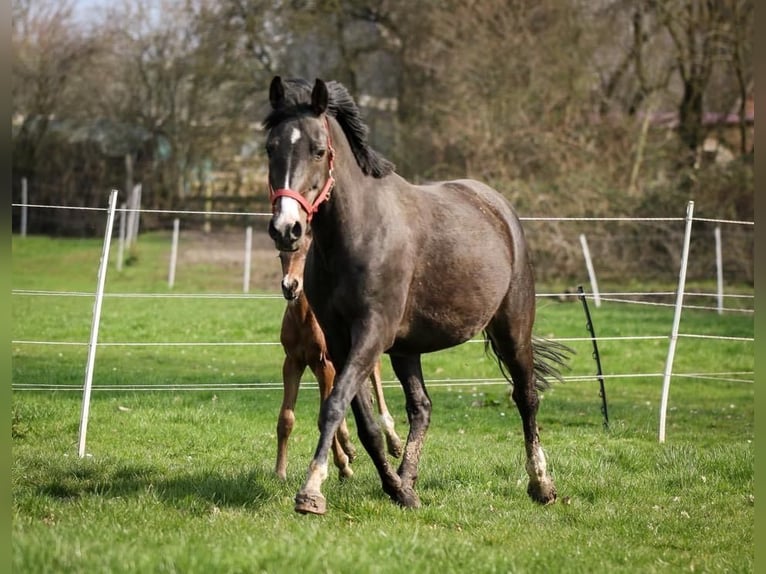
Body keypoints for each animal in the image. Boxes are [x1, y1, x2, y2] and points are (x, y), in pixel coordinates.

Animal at [278, 236, 408, 484]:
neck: (304, 319)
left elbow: (323, 419)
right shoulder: (292, 363)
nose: (290, 286)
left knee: (375, 381)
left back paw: (393, 442)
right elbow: (287, 418)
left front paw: (342, 465)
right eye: (281, 255)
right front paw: (280, 471)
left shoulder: (325, 366)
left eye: (306, 254)